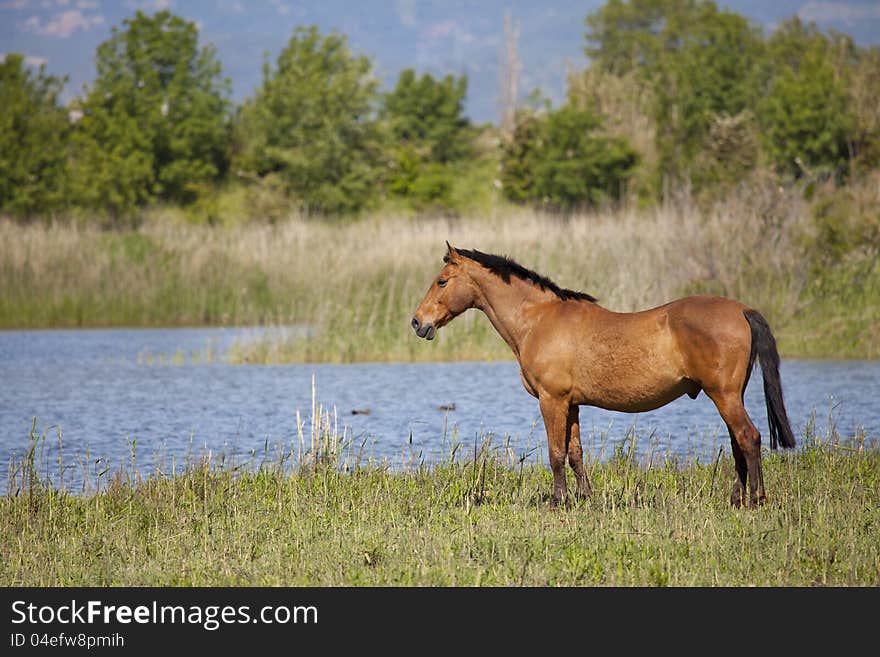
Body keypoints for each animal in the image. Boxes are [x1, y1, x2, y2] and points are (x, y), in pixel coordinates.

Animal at [412, 242, 796, 508]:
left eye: (442, 281)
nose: (418, 322)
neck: (539, 319)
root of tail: (742, 310)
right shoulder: (572, 404)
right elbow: (575, 453)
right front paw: (584, 497)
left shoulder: (552, 400)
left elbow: (555, 453)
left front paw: (558, 502)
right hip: (730, 395)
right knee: (737, 443)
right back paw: (737, 498)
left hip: (724, 395)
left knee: (749, 438)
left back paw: (757, 499)